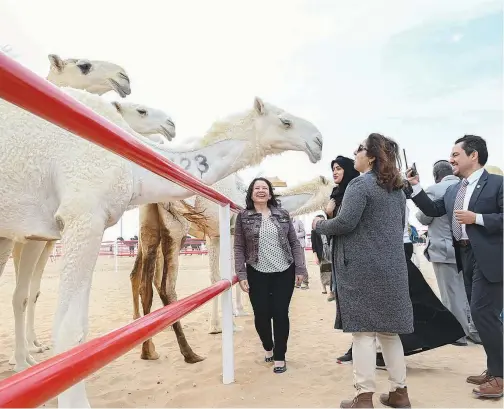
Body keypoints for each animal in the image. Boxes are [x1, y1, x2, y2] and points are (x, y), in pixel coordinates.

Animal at [0, 78, 322, 406]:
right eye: (285, 121)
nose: (318, 140)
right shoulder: (84, 214)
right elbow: (70, 329)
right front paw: (225, 323)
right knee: (160, 286)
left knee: (138, 280)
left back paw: (147, 349)